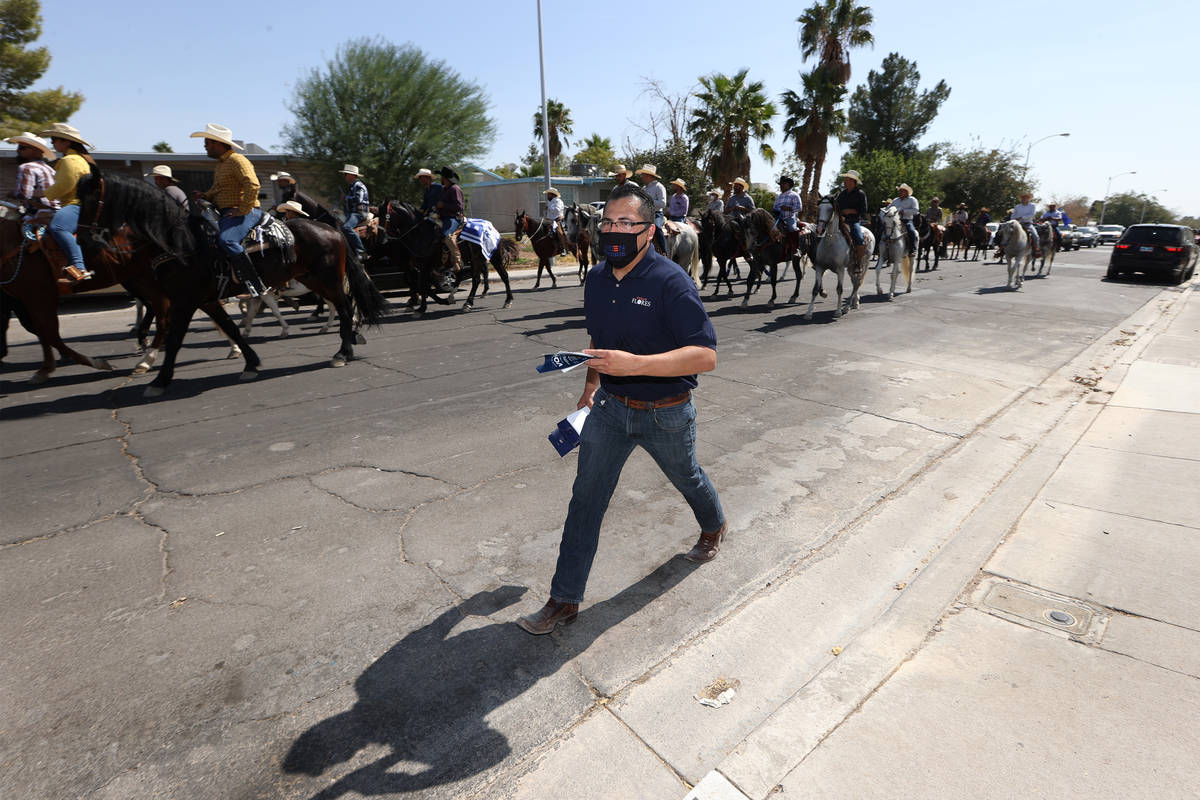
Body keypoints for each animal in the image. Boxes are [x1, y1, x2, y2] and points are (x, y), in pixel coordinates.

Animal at [0, 196, 170, 381]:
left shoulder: (40, 295)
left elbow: (49, 333)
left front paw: (97, 363)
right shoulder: (24, 299)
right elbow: (40, 330)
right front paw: (46, 368)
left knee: (161, 312)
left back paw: (146, 359)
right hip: (140, 277)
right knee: (158, 308)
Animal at [78, 169, 388, 398]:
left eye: (90, 201)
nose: (82, 242)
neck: (181, 243)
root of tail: (331, 228)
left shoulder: (184, 301)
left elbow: (176, 338)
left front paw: (160, 380)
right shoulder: (207, 300)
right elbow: (233, 329)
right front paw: (250, 362)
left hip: (329, 279)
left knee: (346, 309)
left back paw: (342, 352)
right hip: (314, 279)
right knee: (342, 308)